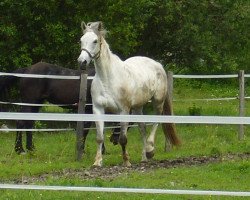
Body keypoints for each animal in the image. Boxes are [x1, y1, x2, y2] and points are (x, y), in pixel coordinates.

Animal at [77, 21, 180, 166]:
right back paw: (144, 157)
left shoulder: (124, 111)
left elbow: (123, 138)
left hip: (158, 102)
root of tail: (158, 65)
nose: (82, 62)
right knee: (142, 128)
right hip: (138, 107)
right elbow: (99, 138)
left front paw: (126, 161)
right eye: (81, 40)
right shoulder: (98, 109)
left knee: (156, 122)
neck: (108, 78)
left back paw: (150, 150)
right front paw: (97, 162)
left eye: (95, 41)